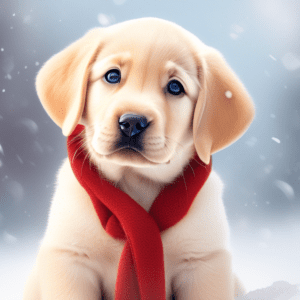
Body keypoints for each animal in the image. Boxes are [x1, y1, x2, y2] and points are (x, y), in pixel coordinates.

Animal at [24, 17, 255, 298]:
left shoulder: (204, 262)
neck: (136, 185)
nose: (133, 122)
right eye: (112, 76)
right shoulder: (70, 258)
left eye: (175, 87)